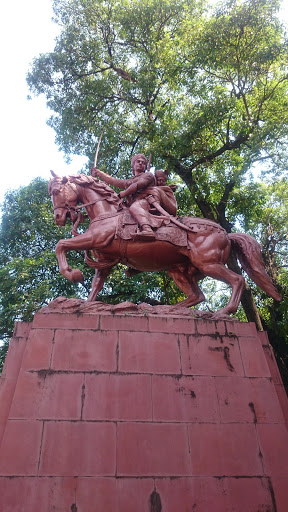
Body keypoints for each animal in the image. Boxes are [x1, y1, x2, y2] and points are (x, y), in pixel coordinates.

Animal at [49, 172, 282, 316]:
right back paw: (168, 310)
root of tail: (226, 233)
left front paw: (73, 274)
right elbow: (96, 286)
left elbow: (61, 244)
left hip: (209, 264)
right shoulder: (104, 261)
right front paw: (85, 306)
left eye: (56, 191)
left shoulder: (94, 238)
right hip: (178, 270)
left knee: (237, 280)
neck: (106, 212)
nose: (58, 218)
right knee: (197, 295)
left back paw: (223, 313)